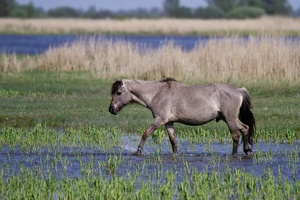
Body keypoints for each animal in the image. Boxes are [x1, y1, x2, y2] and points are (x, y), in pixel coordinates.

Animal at [109, 78, 254, 156]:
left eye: (119, 92)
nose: (111, 109)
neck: (157, 93)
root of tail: (238, 90)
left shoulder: (159, 120)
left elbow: (146, 133)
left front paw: (138, 151)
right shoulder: (168, 123)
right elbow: (173, 140)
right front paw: (175, 154)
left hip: (230, 119)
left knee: (235, 135)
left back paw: (234, 154)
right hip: (229, 118)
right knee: (245, 128)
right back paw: (247, 150)